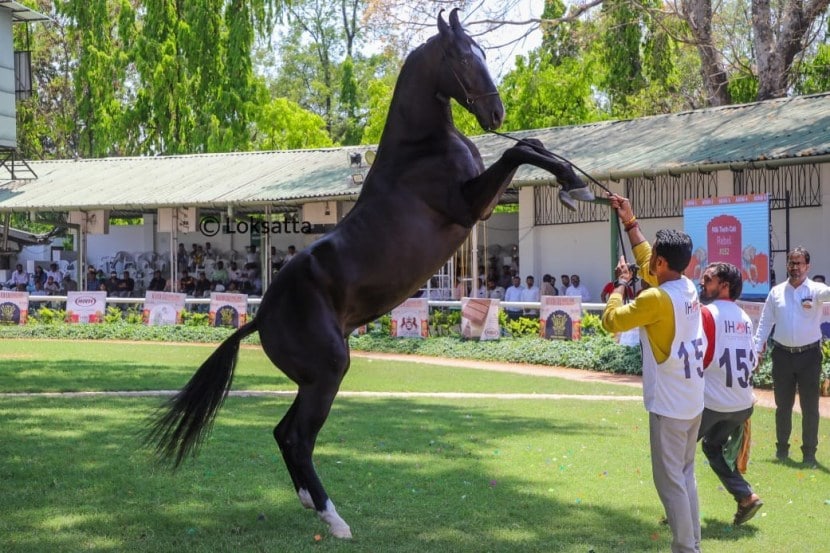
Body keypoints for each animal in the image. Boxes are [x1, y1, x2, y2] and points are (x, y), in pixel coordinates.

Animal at [146, 8, 596, 536]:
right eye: (463, 57)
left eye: (483, 52)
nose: (497, 115)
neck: (420, 150)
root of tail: (260, 315)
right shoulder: (471, 208)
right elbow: (518, 151)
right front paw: (574, 185)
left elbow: (531, 144)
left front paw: (574, 184)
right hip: (327, 372)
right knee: (297, 437)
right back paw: (334, 518)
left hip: (313, 378)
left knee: (283, 432)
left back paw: (309, 501)